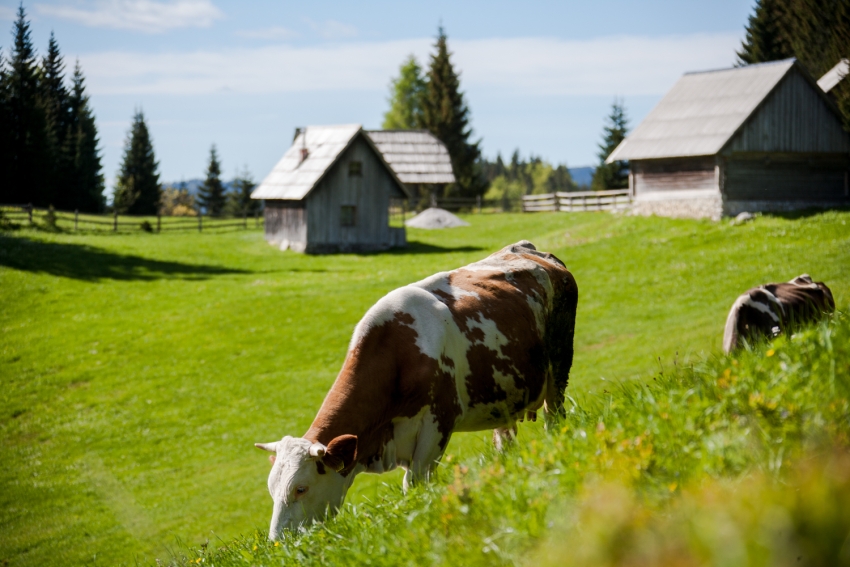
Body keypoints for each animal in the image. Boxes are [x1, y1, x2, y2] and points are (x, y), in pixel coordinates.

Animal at [252, 242, 576, 540]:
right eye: (271, 488)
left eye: (300, 488)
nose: (279, 542)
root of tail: (529, 249)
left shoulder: (437, 424)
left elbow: (416, 484)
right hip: (503, 396)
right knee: (505, 439)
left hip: (559, 367)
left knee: (554, 417)